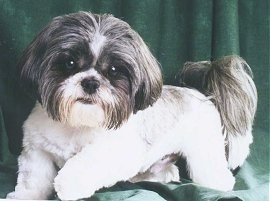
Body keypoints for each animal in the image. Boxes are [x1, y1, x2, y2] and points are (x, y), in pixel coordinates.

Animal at [6, 11, 258, 200]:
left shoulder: (120, 149)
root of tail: (202, 95)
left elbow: (88, 160)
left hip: (205, 153)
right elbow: (32, 180)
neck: (77, 123)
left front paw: (69, 183)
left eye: (113, 70)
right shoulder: (37, 150)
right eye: (69, 63)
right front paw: (23, 197)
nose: (91, 82)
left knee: (213, 174)